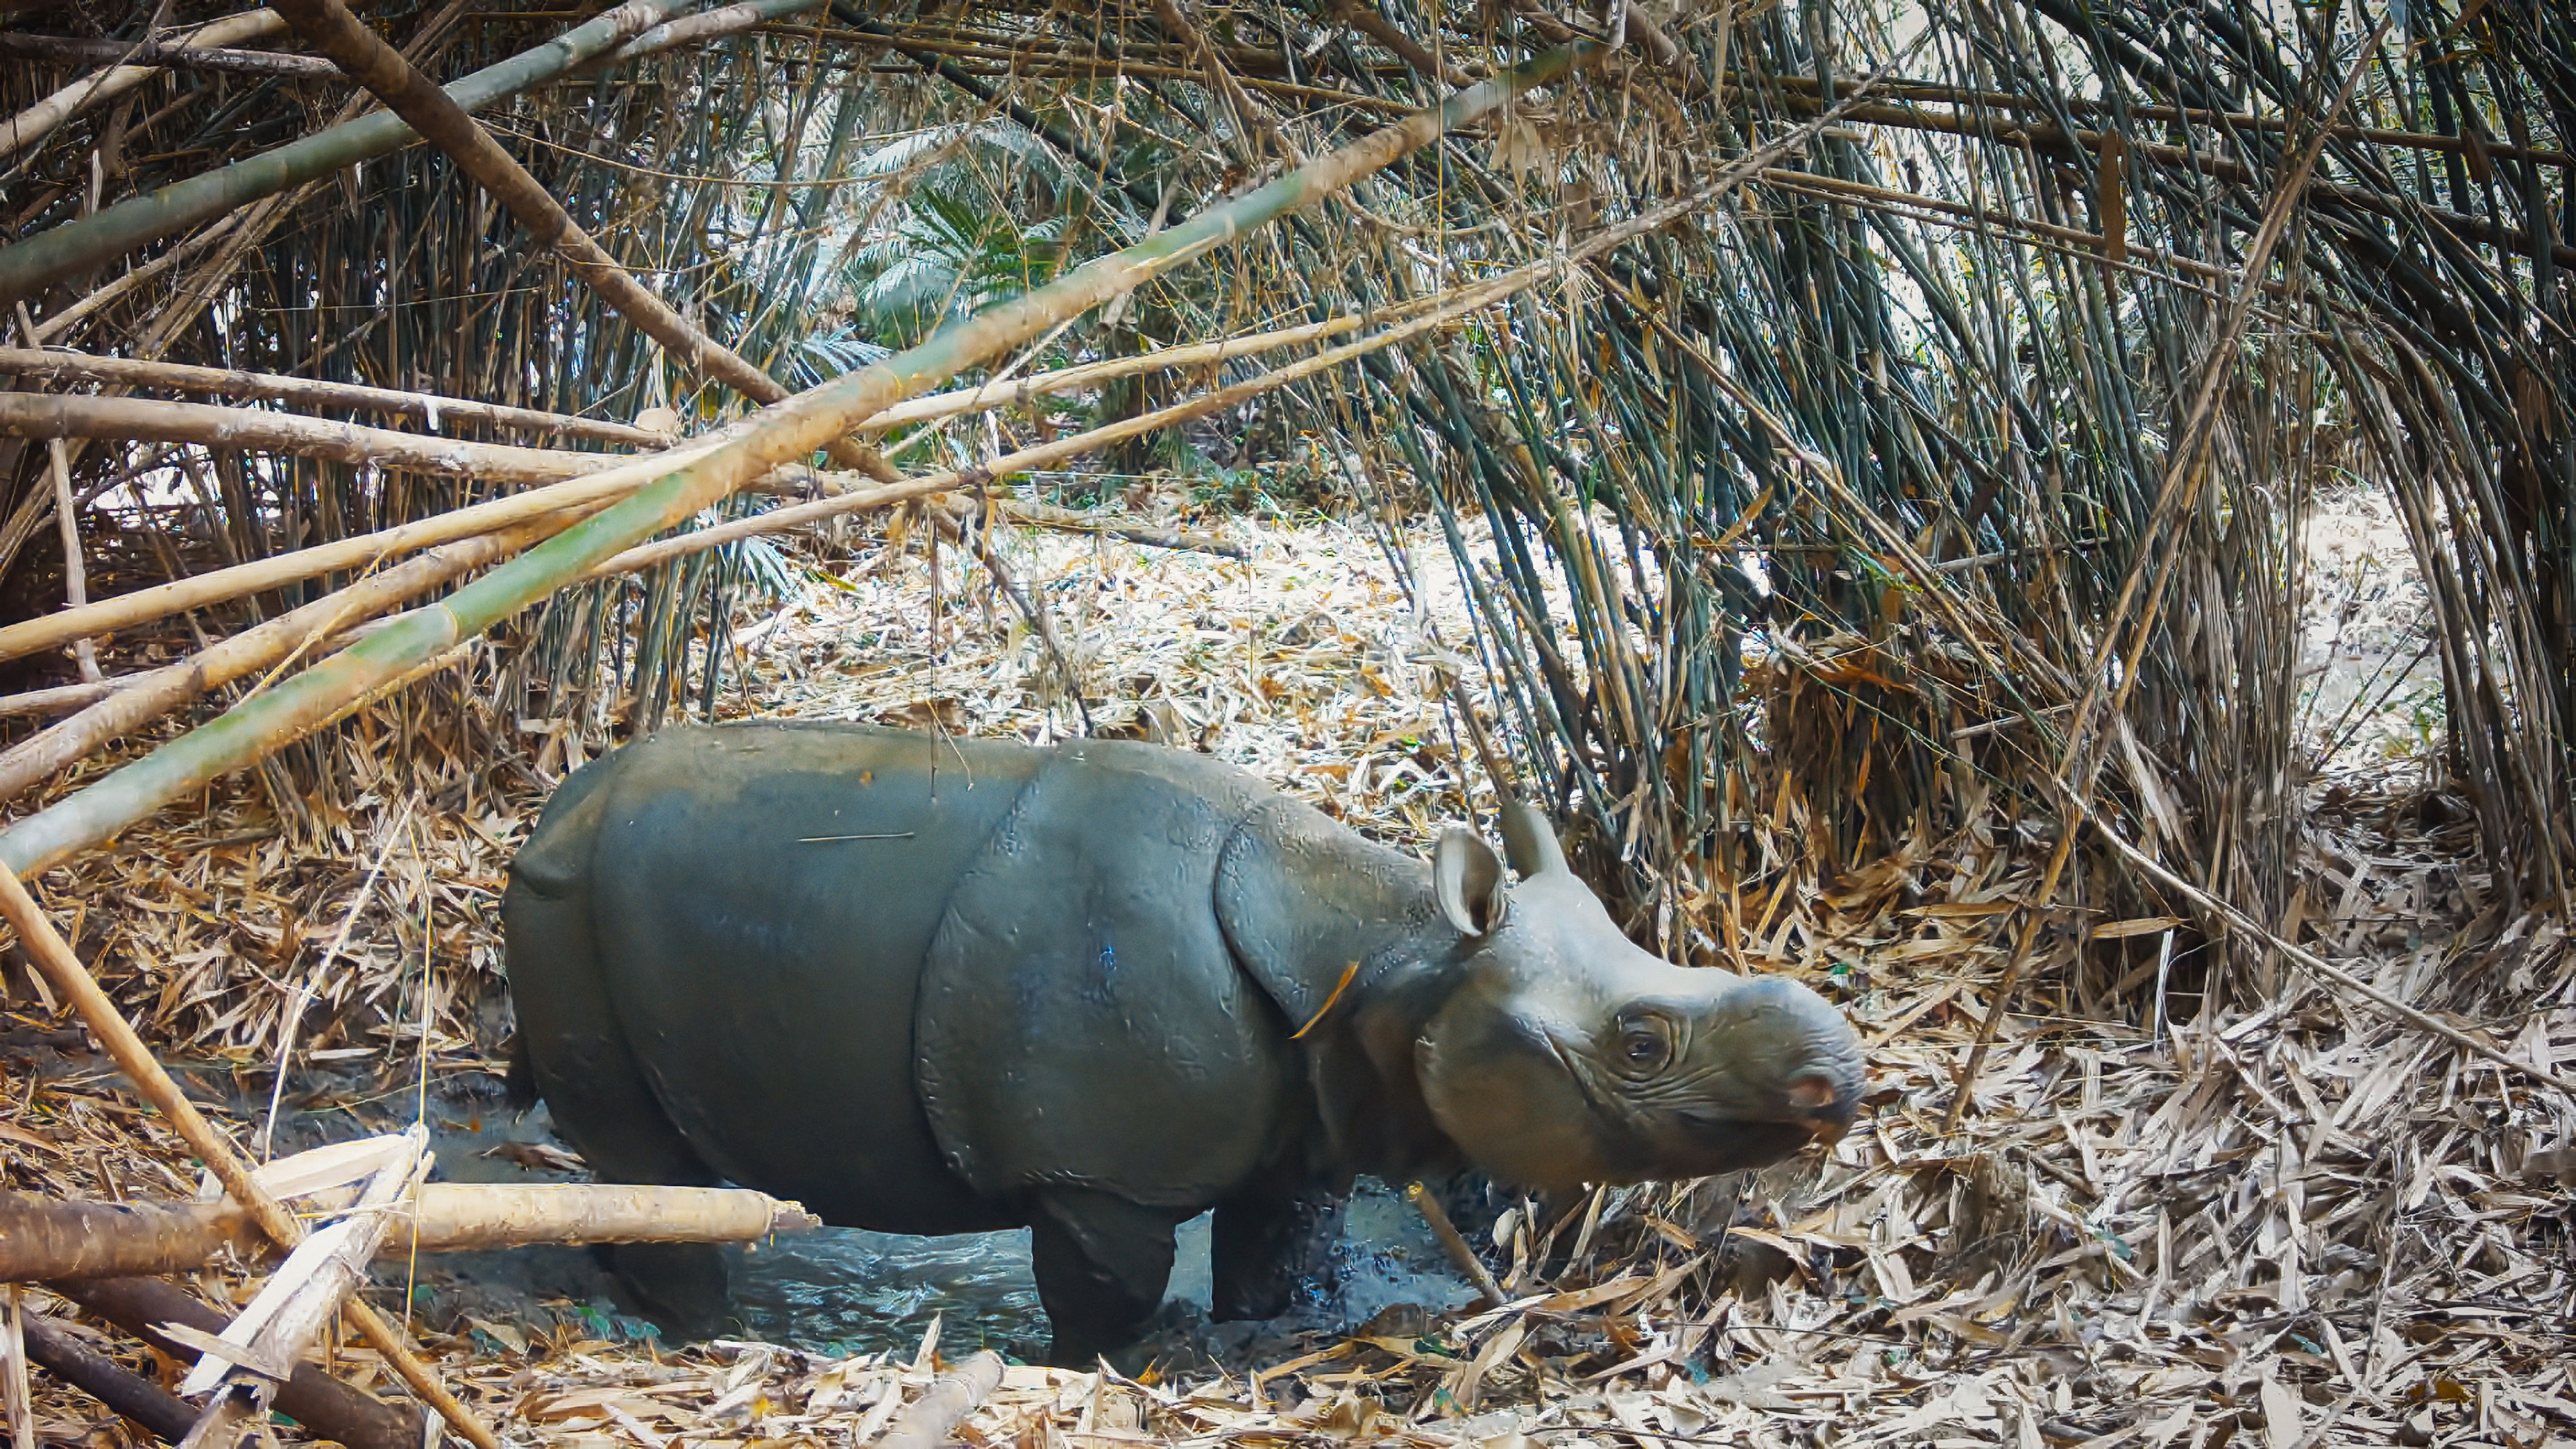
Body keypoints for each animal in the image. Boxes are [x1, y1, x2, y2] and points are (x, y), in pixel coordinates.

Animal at [503, 721, 1863, 1362]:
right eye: (1640, 1044)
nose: (1837, 1084)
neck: (1393, 952)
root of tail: (548, 811)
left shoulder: (1308, 1115)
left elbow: (1276, 1250)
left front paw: (1256, 1332)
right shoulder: (1096, 1173)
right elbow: (1104, 1295)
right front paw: (1105, 1367)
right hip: (564, 906)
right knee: (651, 1166)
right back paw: (705, 1337)